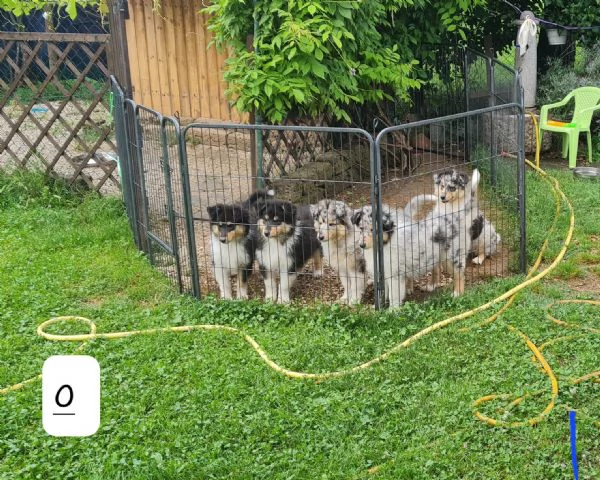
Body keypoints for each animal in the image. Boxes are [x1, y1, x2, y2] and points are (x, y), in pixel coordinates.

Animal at [354, 169, 480, 308]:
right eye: (361, 228)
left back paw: (457, 294)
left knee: (460, 275)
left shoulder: (395, 275)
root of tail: (455, 218)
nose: (361, 245)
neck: (384, 244)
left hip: (453, 256)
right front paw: (379, 307)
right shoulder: (385, 275)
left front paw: (393, 310)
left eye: (373, 230)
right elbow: (384, 294)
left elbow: (394, 296)